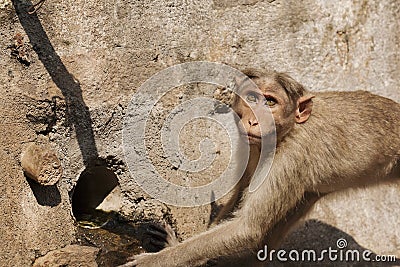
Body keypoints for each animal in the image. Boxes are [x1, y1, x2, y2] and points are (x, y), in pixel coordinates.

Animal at [119, 68, 400, 266]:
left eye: (271, 102)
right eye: (252, 98)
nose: (254, 120)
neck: (289, 131)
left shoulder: (291, 157)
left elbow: (247, 228)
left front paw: (155, 262)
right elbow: (240, 197)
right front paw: (174, 244)